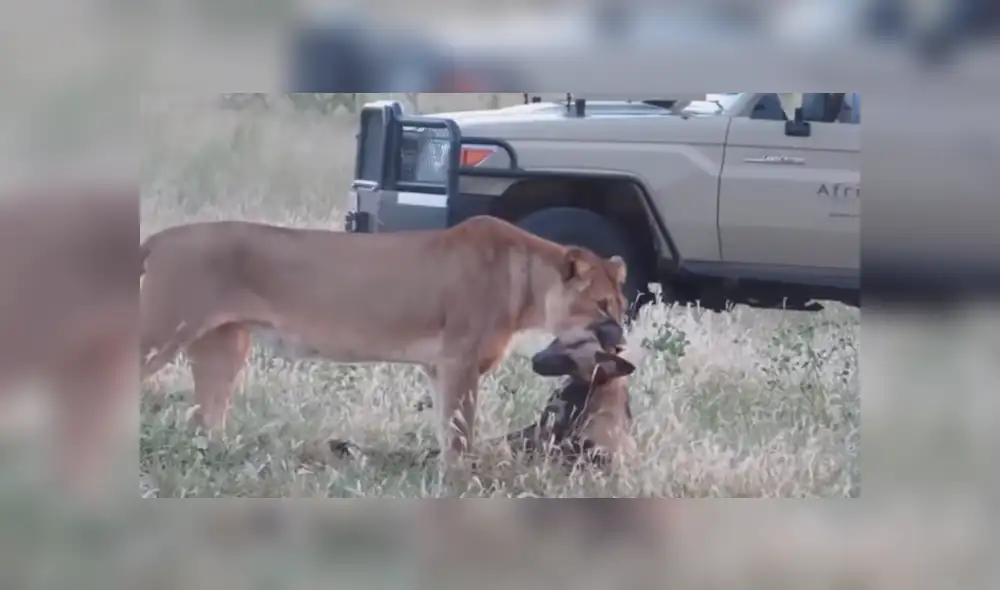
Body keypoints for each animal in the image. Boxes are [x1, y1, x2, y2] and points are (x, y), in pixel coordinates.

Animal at [140, 215, 627, 466]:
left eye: (623, 306)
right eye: (602, 306)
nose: (622, 339)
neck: (527, 287)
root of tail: (161, 237)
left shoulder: (439, 367)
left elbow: (446, 430)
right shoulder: (459, 361)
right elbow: (461, 432)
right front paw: (460, 483)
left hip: (224, 346)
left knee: (204, 420)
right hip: (163, 332)